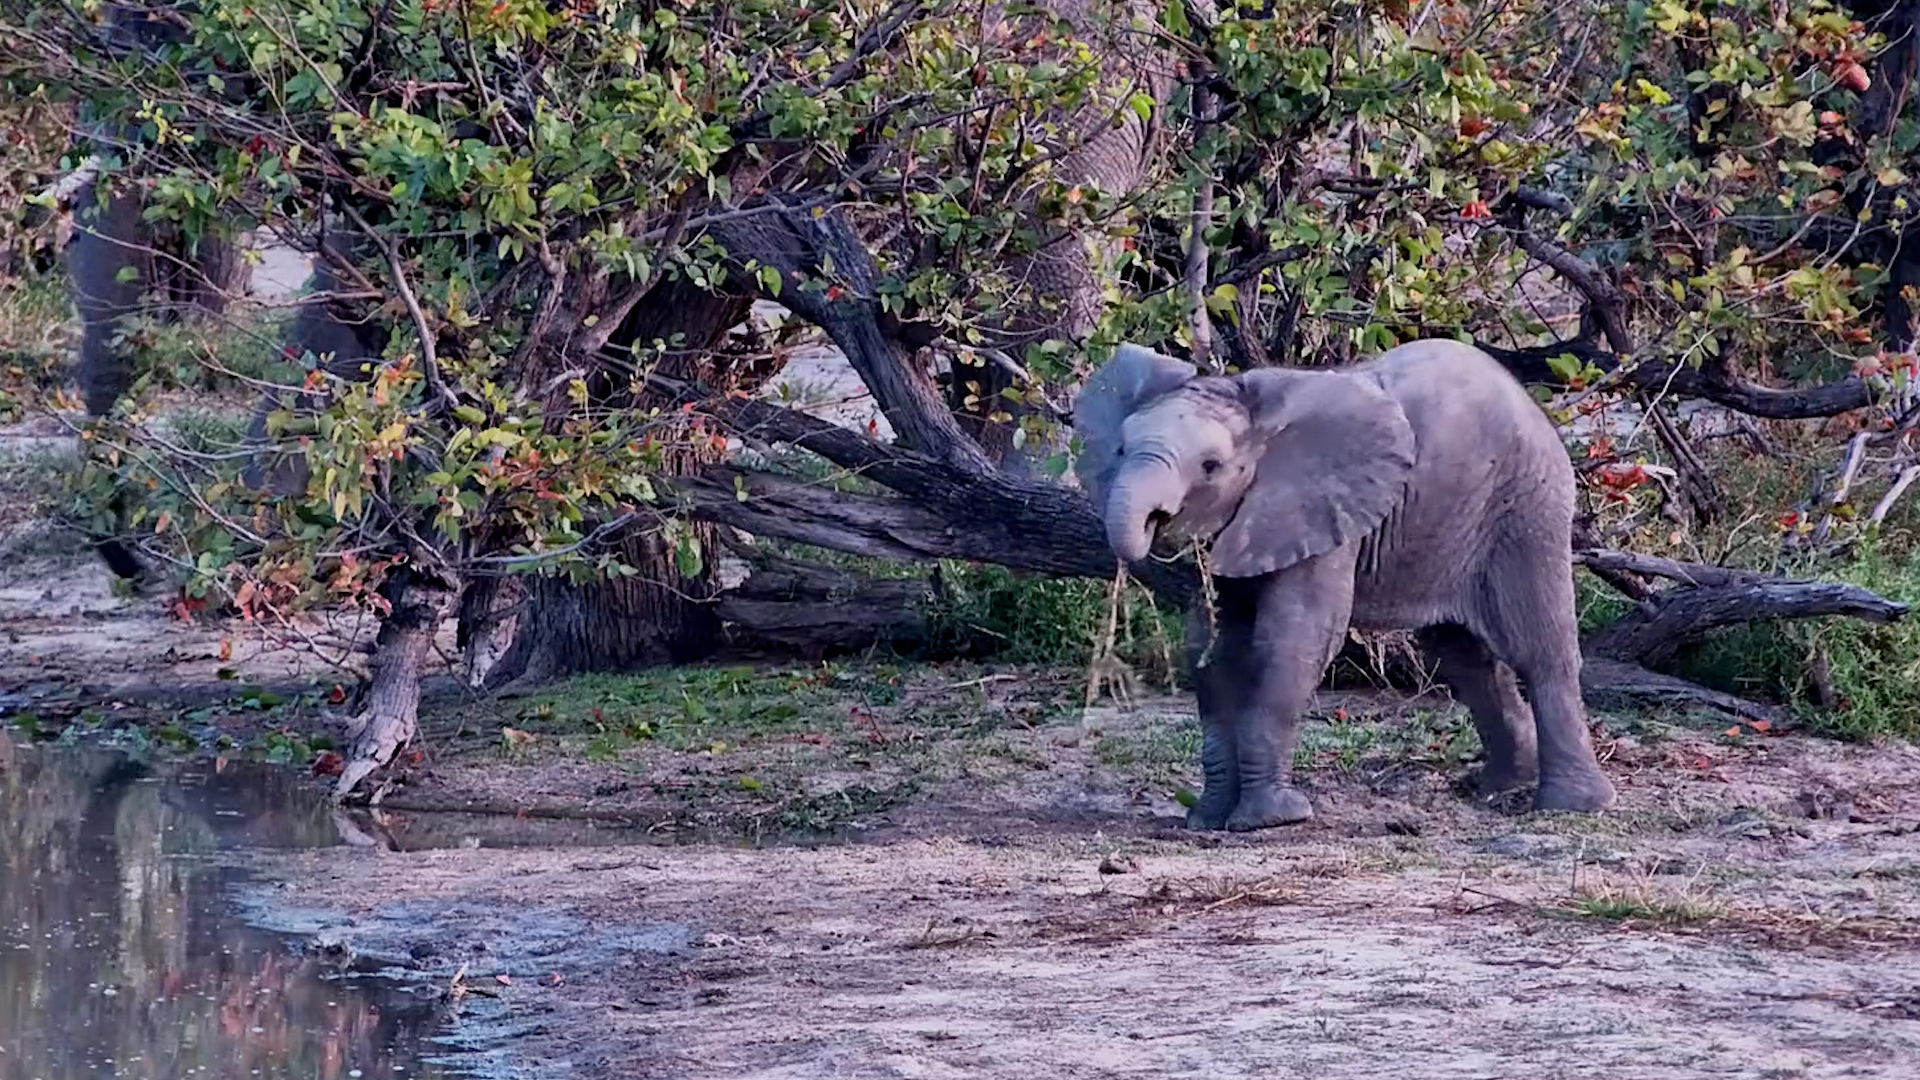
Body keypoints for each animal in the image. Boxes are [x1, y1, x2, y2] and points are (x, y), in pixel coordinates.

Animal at [1072, 338, 1619, 830]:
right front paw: (1206, 820)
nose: (1152, 524)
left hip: (1525, 507)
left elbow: (1293, 639)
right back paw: (1497, 789)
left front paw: (1271, 820)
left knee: (1537, 650)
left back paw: (1570, 807)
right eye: (1119, 449)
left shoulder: (1321, 510)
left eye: (1210, 467)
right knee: (1463, 657)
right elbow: (1212, 651)